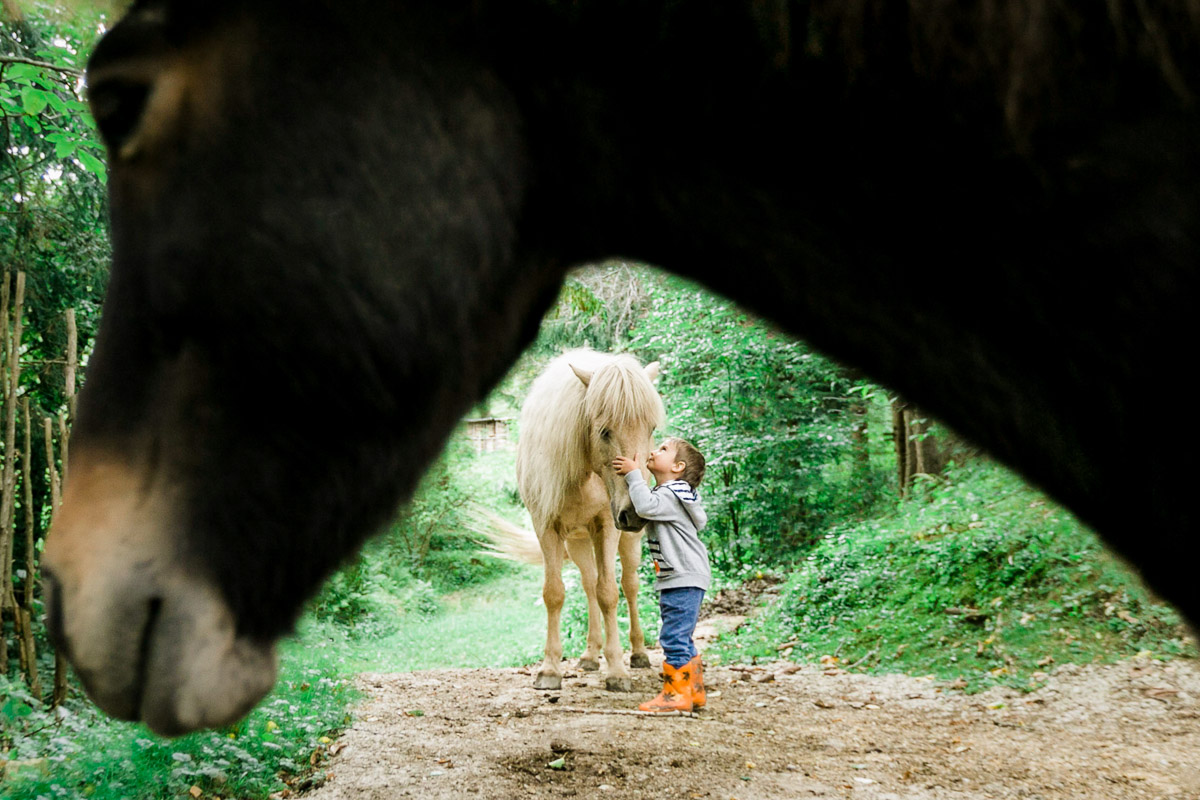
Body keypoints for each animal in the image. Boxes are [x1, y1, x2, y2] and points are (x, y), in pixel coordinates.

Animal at [480, 347, 662, 690]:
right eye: (604, 431)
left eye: (651, 429)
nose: (634, 511)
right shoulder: (546, 528)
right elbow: (555, 593)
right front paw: (550, 669)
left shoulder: (607, 526)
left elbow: (609, 593)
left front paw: (616, 671)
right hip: (578, 542)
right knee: (589, 584)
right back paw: (591, 656)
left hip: (627, 540)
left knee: (629, 585)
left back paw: (638, 653)